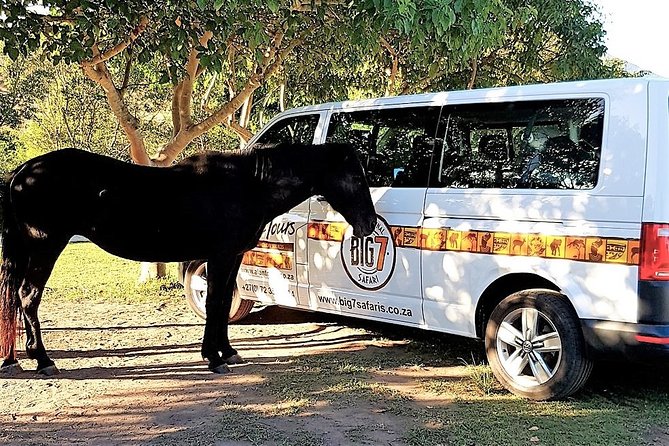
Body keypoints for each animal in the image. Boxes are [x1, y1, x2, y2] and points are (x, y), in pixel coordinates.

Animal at [0, 145, 376, 374]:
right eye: (355, 177)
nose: (369, 224)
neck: (248, 186)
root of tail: (24, 172)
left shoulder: (232, 258)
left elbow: (222, 304)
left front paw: (227, 351)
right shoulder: (220, 256)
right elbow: (214, 303)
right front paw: (213, 358)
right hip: (45, 247)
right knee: (28, 297)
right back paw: (43, 361)